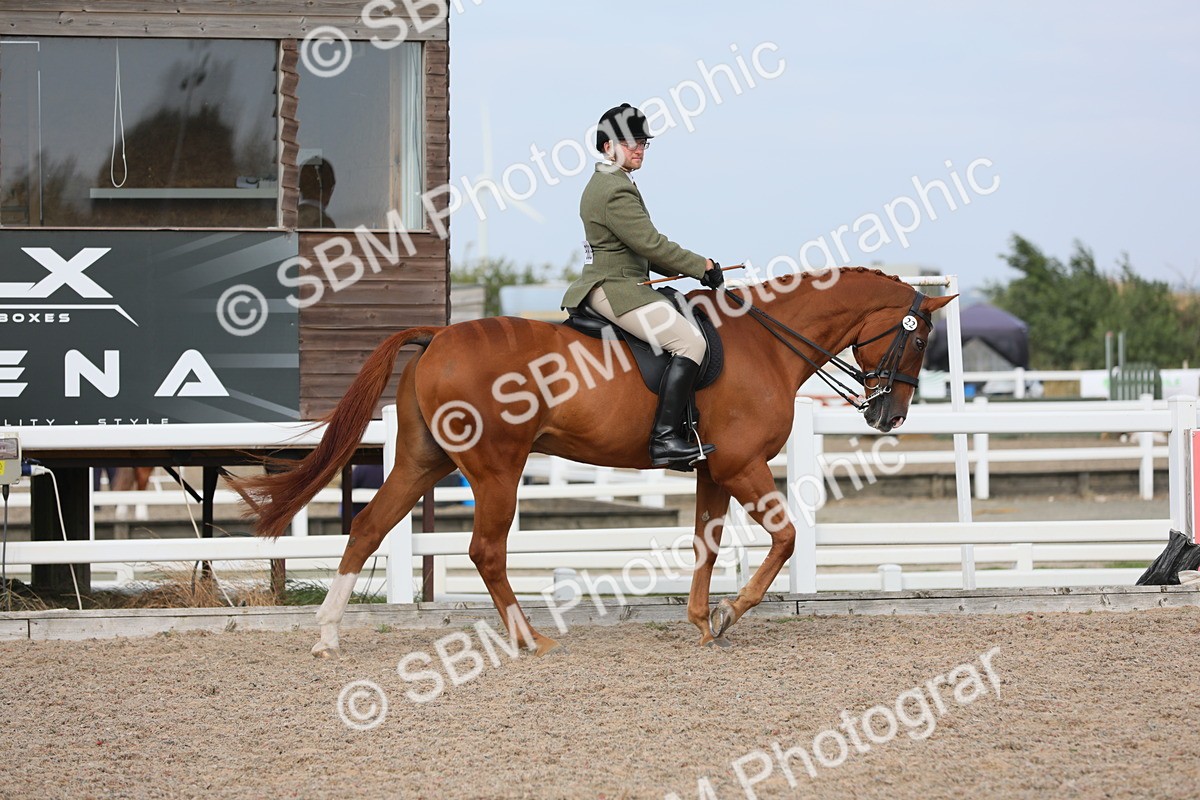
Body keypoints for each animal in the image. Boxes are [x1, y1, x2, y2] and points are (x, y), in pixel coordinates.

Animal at [230, 267, 956, 657]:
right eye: (920, 341)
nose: (889, 417)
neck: (766, 342)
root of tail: (438, 336)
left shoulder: (712, 470)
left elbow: (706, 544)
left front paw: (702, 622)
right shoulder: (742, 466)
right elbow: (784, 538)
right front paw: (728, 614)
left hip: (421, 462)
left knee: (369, 528)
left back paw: (327, 636)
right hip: (496, 468)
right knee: (485, 551)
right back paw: (529, 640)